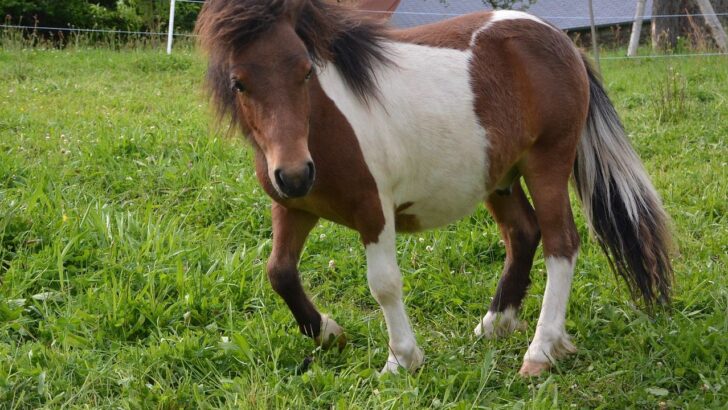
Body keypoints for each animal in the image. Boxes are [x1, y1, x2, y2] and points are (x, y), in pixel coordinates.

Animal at [195, 0, 673, 376]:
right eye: (239, 82)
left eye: (306, 71)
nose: (295, 174)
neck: (323, 125)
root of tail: (557, 38)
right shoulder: (293, 208)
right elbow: (279, 272)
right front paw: (329, 333)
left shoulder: (373, 211)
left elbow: (384, 284)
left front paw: (401, 360)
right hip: (500, 177)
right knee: (523, 234)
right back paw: (495, 324)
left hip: (547, 166)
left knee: (561, 244)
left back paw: (539, 351)